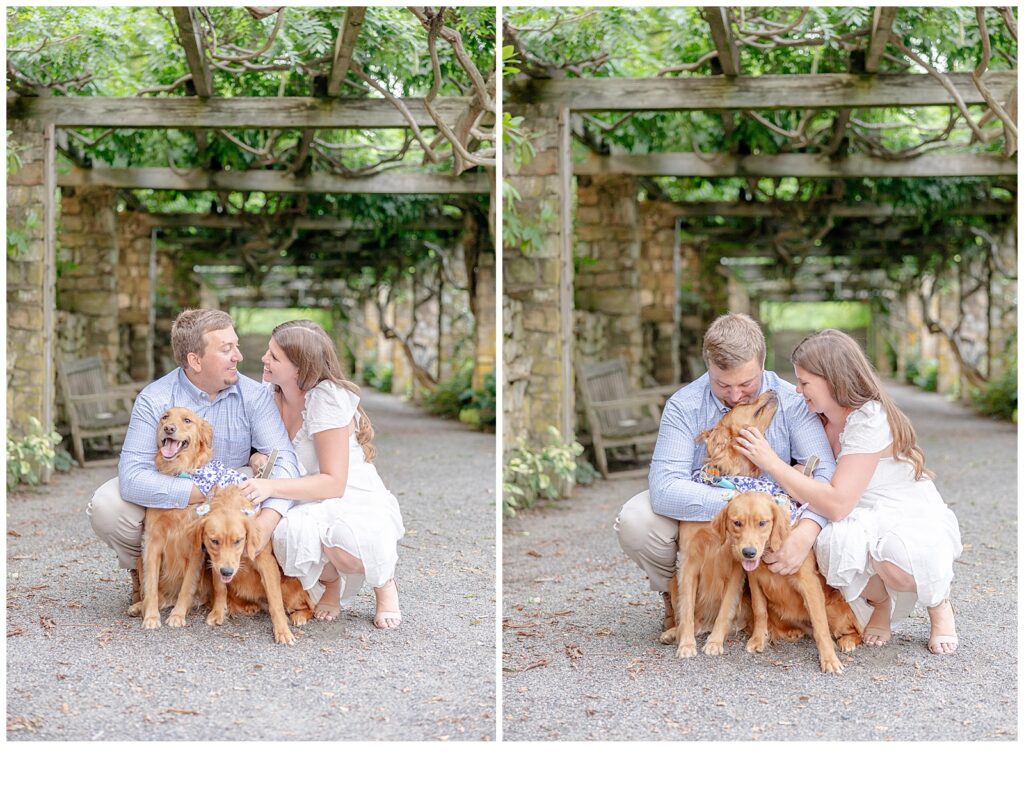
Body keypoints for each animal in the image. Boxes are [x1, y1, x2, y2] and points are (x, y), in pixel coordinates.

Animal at [134, 409, 214, 626]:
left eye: (187, 420)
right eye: (165, 417)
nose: (169, 428)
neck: (176, 474)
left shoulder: (195, 548)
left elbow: (186, 587)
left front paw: (178, 615)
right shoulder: (152, 543)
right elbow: (151, 586)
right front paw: (151, 616)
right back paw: (138, 606)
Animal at [194, 483, 315, 647]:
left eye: (238, 540)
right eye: (214, 541)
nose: (227, 572)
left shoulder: (267, 564)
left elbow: (275, 603)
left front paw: (282, 631)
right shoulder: (215, 563)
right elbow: (220, 588)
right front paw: (218, 612)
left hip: (288, 588)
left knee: (309, 607)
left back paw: (300, 616)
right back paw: (250, 606)